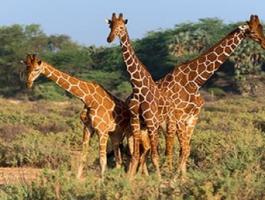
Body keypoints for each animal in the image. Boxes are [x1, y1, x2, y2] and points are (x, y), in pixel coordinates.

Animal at [20, 54, 150, 177]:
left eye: (37, 69)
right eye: (26, 68)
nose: (28, 83)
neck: (88, 98)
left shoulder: (102, 131)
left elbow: (102, 160)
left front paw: (103, 180)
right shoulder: (87, 128)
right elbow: (83, 157)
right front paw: (78, 179)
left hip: (133, 133)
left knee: (137, 152)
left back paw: (140, 176)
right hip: (116, 135)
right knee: (121, 159)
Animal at [105, 13, 167, 177]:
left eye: (121, 27)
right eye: (110, 26)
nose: (109, 39)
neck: (138, 87)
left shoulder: (151, 122)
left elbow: (155, 156)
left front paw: (159, 179)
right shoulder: (135, 121)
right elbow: (135, 154)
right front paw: (129, 178)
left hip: (160, 125)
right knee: (142, 151)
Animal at [157, 14, 264, 177]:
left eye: (261, 27)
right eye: (252, 30)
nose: (264, 43)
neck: (195, 81)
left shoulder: (192, 118)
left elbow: (185, 150)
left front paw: (183, 178)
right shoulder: (179, 117)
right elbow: (185, 149)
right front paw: (176, 178)